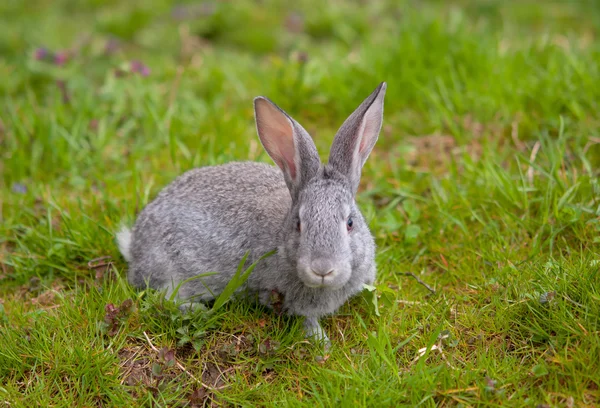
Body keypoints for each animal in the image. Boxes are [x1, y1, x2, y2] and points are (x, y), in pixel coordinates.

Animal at [118, 81, 390, 346]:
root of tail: (135, 245)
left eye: (350, 223)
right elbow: (305, 319)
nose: (322, 269)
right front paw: (320, 341)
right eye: (299, 224)